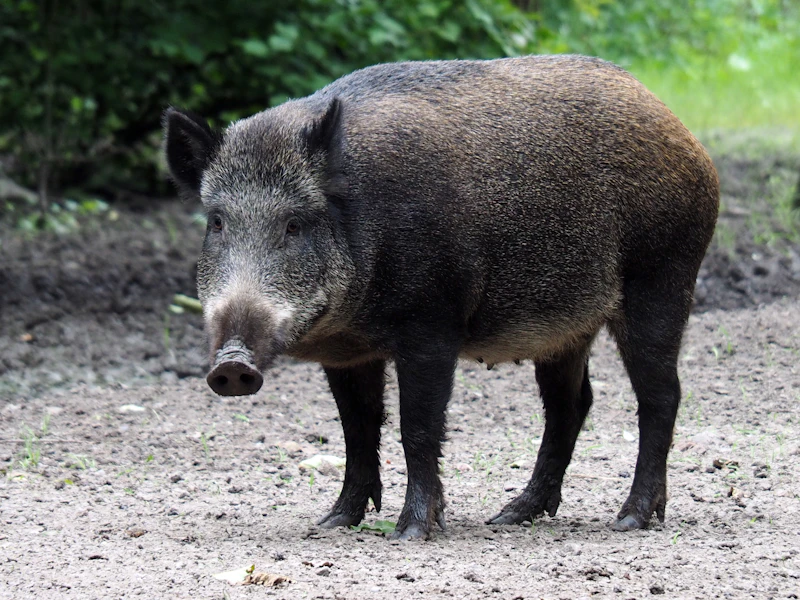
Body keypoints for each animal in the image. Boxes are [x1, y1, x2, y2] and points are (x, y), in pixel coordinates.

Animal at [163, 55, 719, 540]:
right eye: (217, 222)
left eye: (294, 224)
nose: (232, 365)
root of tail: (684, 135)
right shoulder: (346, 353)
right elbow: (357, 428)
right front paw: (333, 522)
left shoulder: (432, 323)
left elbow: (419, 426)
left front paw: (412, 532)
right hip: (567, 328)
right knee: (571, 404)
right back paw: (511, 515)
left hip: (662, 279)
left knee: (660, 395)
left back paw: (630, 519)